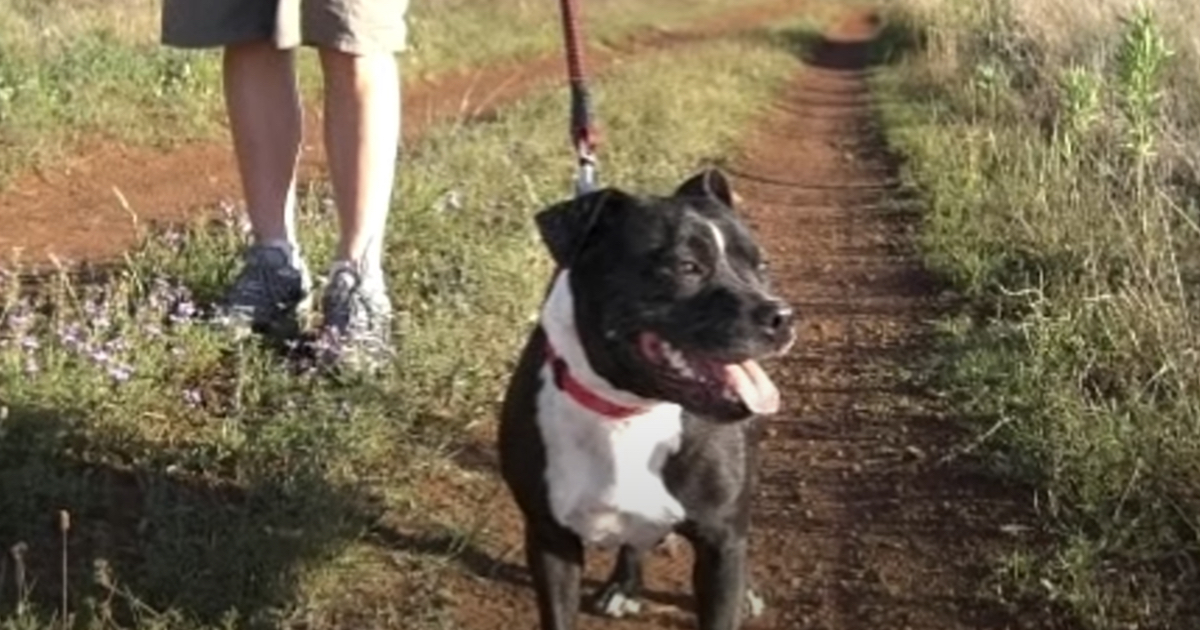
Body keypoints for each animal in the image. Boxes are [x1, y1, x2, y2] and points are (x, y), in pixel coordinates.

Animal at [496, 168, 796, 628]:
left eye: (763, 266)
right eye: (685, 267)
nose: (781, 316)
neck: (627, 409)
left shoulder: (721, 544)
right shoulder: (550, 540)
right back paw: (624, 583)